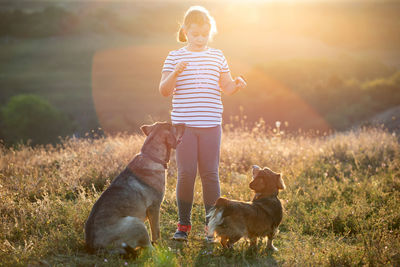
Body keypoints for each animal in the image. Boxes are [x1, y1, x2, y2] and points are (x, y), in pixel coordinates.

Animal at [85, 122, 185, 254]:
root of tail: (95, 248)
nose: (184, 124)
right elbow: (156, 233)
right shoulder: (154, 208)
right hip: (136, 223)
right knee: (149, 249)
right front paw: (161, 246)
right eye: (173, 126)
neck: (152, 157)